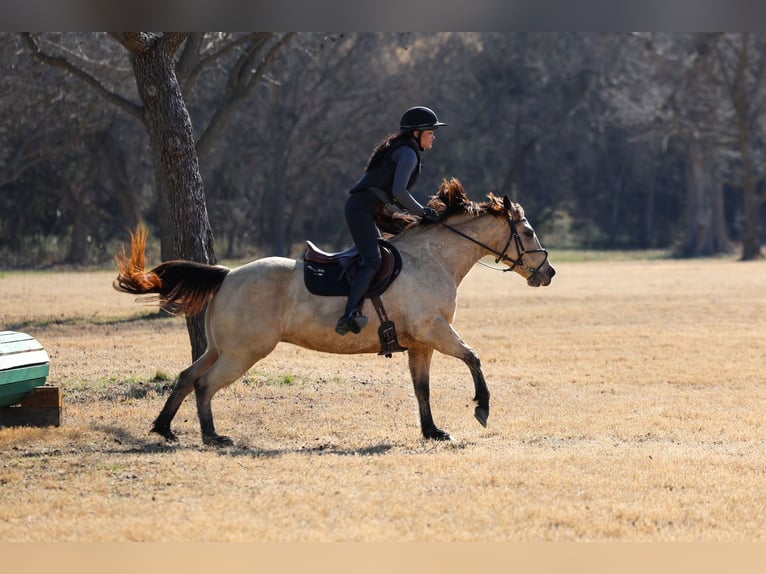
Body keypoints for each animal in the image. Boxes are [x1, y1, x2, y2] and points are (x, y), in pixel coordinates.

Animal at [113, 178, 556, 446]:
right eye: (528, 232)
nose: (548, 273)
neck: (434, 257)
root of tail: (227, 275)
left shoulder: (422, 343)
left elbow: (422, 388)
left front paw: (431, 431)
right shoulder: (436, 330)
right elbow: (473, 358)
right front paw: (481, 408)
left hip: (220, 347)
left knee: (188, 376)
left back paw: (164, 428)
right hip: (245, 352)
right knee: (205, 385)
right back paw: (212, 436)